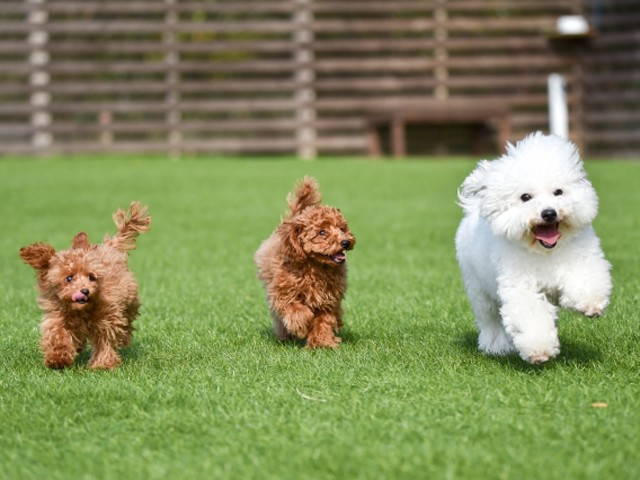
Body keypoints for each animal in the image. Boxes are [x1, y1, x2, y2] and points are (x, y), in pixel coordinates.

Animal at [452, 131, 612, 364]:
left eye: (558, 192)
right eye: (525, 197)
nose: (549, 213)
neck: (545, 250)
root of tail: (474, 209)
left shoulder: (581, 258)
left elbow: (585, 279)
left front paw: (590, 303)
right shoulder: (520, 285)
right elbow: (531, 313)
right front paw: (539, 349)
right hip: (478, 288)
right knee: (490, 319)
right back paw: (496, 346)